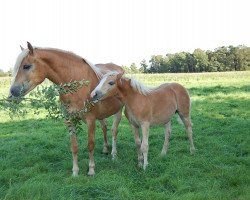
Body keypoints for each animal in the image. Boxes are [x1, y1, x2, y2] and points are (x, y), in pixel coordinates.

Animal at [8, 41, 124, 175]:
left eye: (26, 66)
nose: (12, 93)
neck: (77, 84)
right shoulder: (69, 119)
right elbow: (74, 146)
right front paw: (75, 171)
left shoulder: (90, 120)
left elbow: (90, 145)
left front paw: (91, 170)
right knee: (105, 127)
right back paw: (105, 149)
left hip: (118, 111)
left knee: (114, 131)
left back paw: (114, 154)